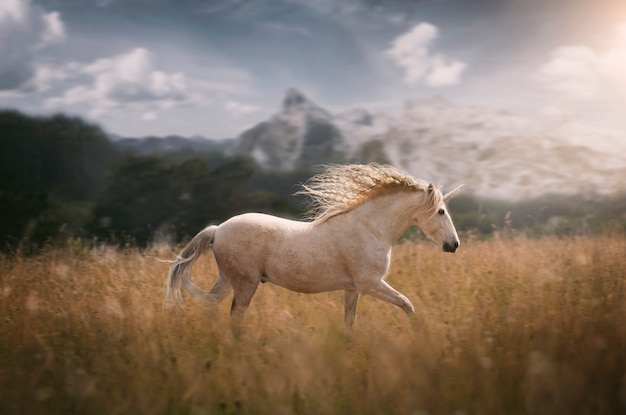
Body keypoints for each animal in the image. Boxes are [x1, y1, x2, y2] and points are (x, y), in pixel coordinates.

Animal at [163, 164, 460, 330]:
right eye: (441, 211)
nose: (454, 245)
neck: (370, 228)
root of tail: (218, 230)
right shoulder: (370, 284)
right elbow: (408, 304)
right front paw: (419, 333)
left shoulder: (353, 289)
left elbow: (349, 324)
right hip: (246, 284)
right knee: (235, 318)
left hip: (228, 280)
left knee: (210, 305)